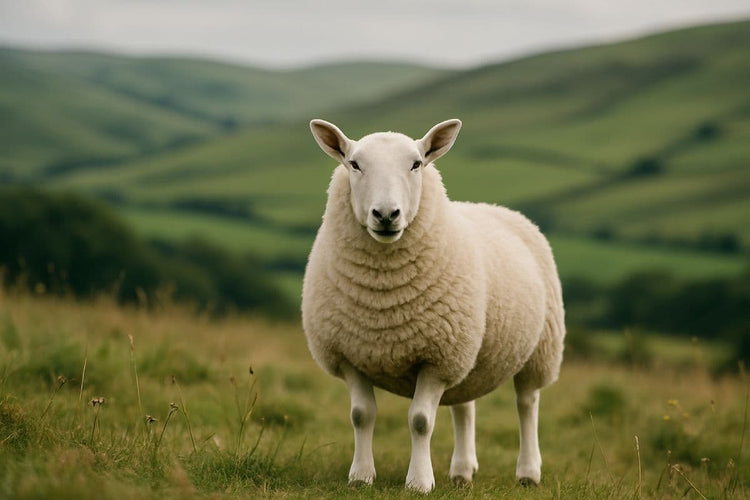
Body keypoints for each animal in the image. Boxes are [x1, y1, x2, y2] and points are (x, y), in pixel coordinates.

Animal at [301, 118, 565, 493]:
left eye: (416, 164)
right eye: (354, 164)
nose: (386, 214)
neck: (383, 299)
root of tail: (494, 207)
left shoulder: (436, 358)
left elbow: (421, 420)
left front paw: (419, 482)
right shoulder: (350, 354)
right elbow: (362, 415)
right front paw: (361, 476)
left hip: (539, 348)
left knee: (527, 403)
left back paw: (528, 472)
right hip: (468, 350)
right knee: (464, 407)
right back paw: (462, 471)